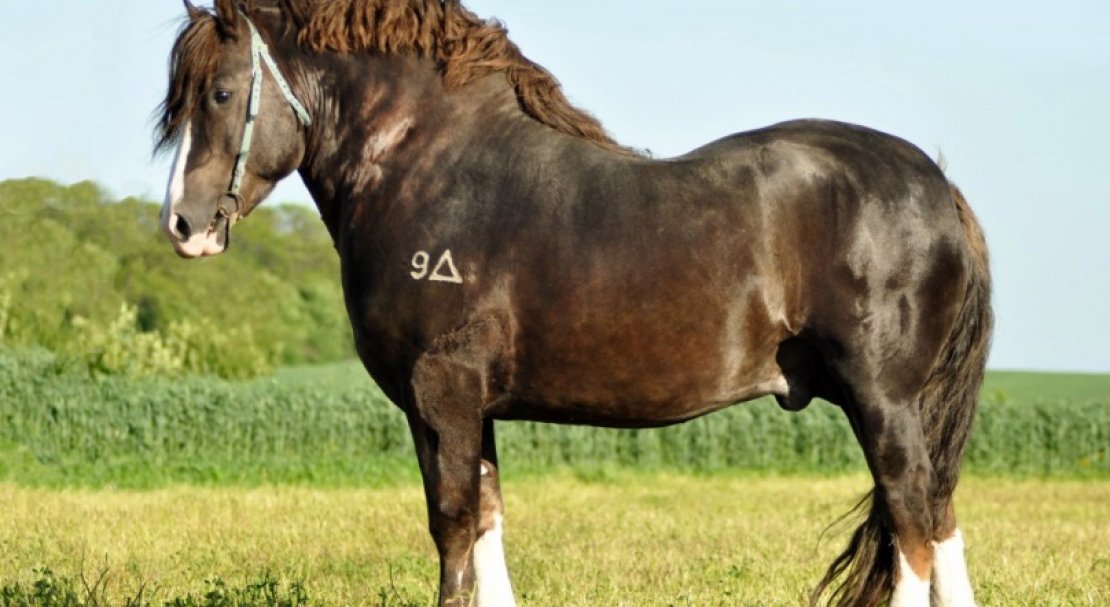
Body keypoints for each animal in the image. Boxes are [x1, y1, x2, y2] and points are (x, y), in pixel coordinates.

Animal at [155, 1, 992, 605]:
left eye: (221, 93)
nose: (182, 226)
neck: (429, 168)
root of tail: (938, 185)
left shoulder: (440, 392)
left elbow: (452, 528)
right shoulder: (470, 406)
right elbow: (488, 523)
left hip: (884, 401)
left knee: (914, 528)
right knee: (940, 521)